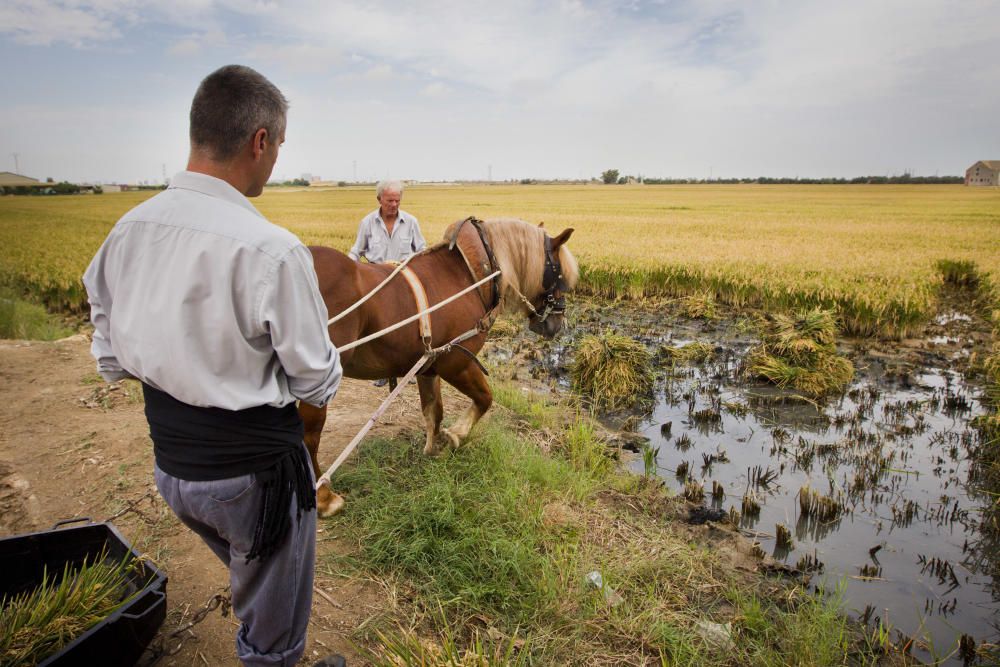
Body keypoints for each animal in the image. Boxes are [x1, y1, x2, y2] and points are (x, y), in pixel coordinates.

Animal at [298, 219, 580, 516]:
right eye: (560, 274)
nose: (557, 324)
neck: (469, 275)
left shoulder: (428, 365)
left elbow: (434, 410)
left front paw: (433, 448)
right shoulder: (456, 362)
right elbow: (485, 398)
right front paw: (456, 435)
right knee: (309, 436)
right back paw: (324, 496)